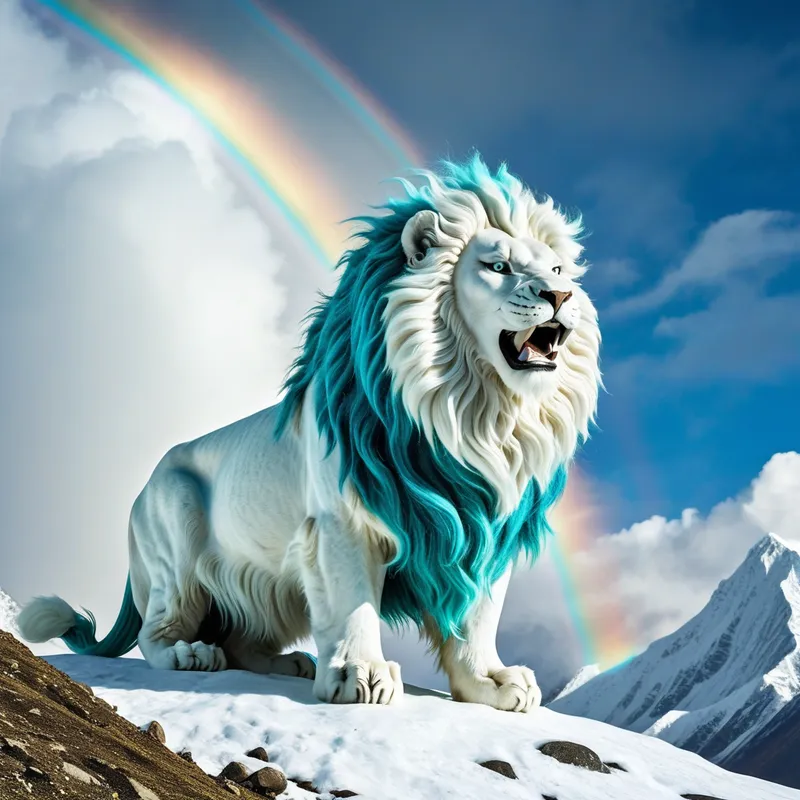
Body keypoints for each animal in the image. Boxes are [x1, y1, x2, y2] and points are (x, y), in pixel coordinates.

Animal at [18, 155, 601, 712]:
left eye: (555, 267)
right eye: (498, 266)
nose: (560, 294)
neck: (477, 412)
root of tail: (141, 490)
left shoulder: (488, 524)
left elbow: (478, 619)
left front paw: (492, 685)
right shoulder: (342, 522)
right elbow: (352, 602)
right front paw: (360, 677)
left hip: (263, 584)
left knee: (242, 641)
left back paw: (291, 664)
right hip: (175, 546)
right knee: (156, 633)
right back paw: (190, 654)